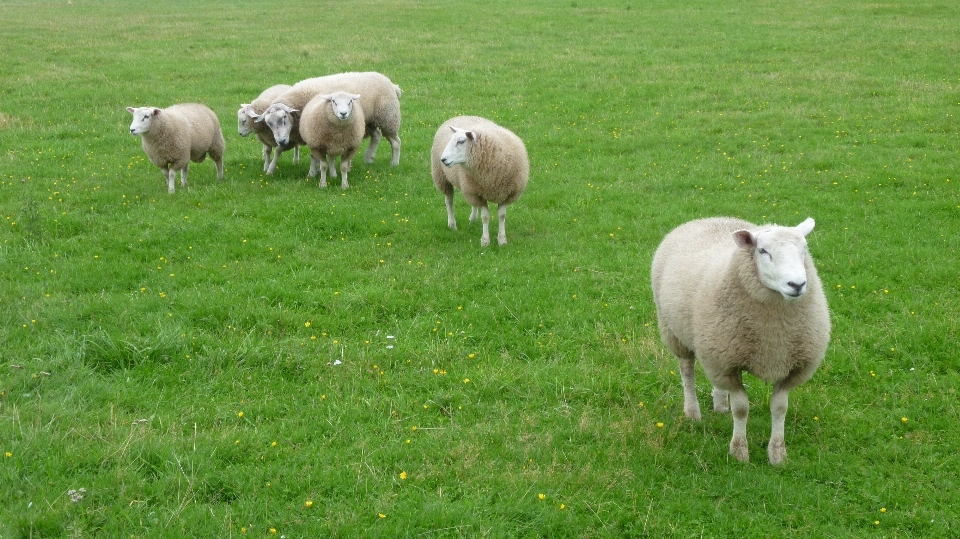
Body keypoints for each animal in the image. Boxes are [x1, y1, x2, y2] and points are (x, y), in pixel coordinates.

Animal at [255, 71, 402, 168]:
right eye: (268, 123)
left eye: (284, 117)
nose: (280, 141)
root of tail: (392, 84)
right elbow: (280, 150)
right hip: (368, 121)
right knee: (376, 135)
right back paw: (369, 158)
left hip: (388, 117)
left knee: (395, 142)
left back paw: (394, 163)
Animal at [432, 117, 528, 248]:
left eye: (461, 141)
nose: (443, 159)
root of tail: (460, 116)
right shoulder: (479, 194)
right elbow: (485, 217)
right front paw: (485, 241)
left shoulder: (505, 193)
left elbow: (502, 216)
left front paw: (502, 240)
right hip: (443, 178)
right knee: (449, 201)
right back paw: (452, 224)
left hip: (471, 187)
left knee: (472, 204)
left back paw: (473, 218)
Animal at [652, 217, 832, 466]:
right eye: (763, 251)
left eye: (804, 250)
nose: (796, 285)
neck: (774, 332)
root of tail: (707, 219)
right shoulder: (728, 364)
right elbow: (741, 409)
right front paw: (739, 452)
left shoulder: (791, 367)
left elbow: (780, 408)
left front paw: (778, 454)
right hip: (677, 334)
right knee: (687, 372)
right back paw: (692, 412)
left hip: (716, 349)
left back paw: (720, 405)